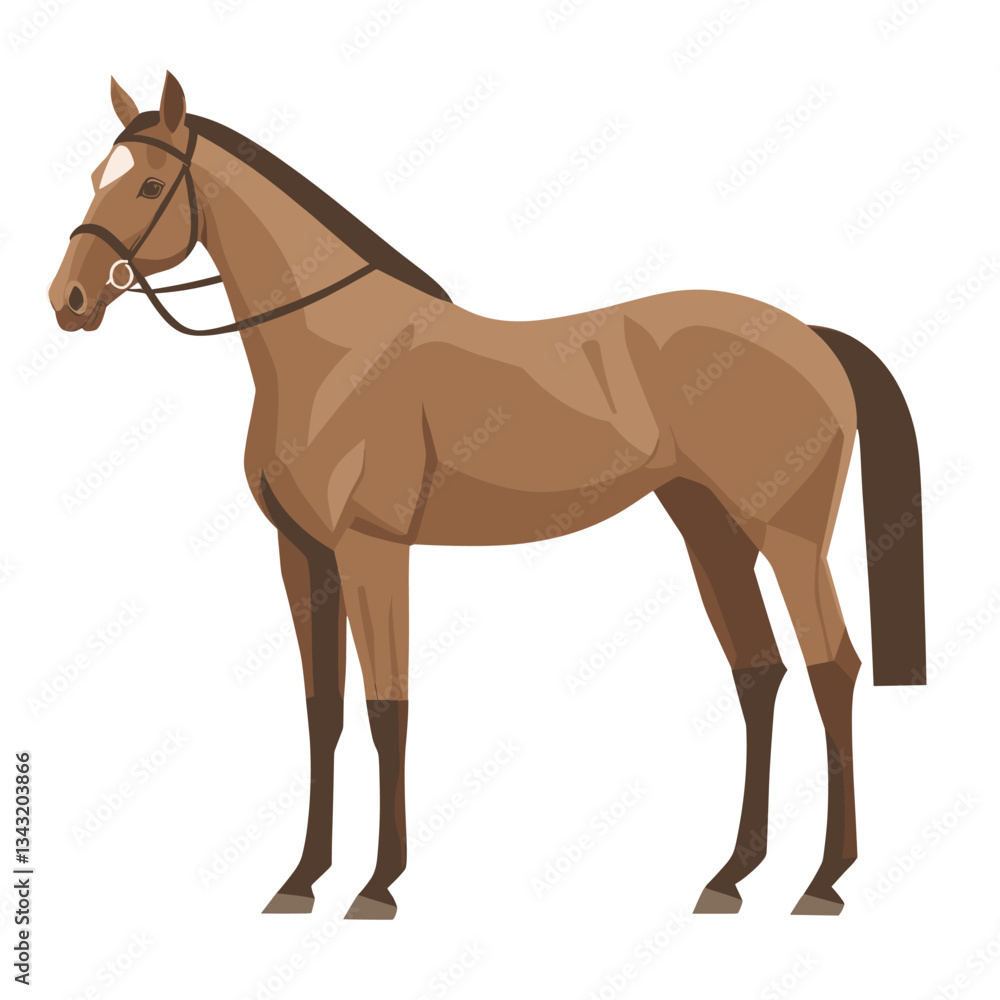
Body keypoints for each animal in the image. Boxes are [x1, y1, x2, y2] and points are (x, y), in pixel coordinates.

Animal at [49, 72, 925, 919]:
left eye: (149, 183)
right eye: (96, 176)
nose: (69, 301)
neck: (331, 353)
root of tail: (812, 339)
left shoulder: (372, 550)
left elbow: (387, 710)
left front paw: (377, 886)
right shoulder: (303, 555)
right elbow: (322, 713)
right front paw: (300, 880)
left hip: (788, 537)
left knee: (831, 668)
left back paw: (824, 881)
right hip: (710, 530)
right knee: (758, 673)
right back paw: (732, 877)